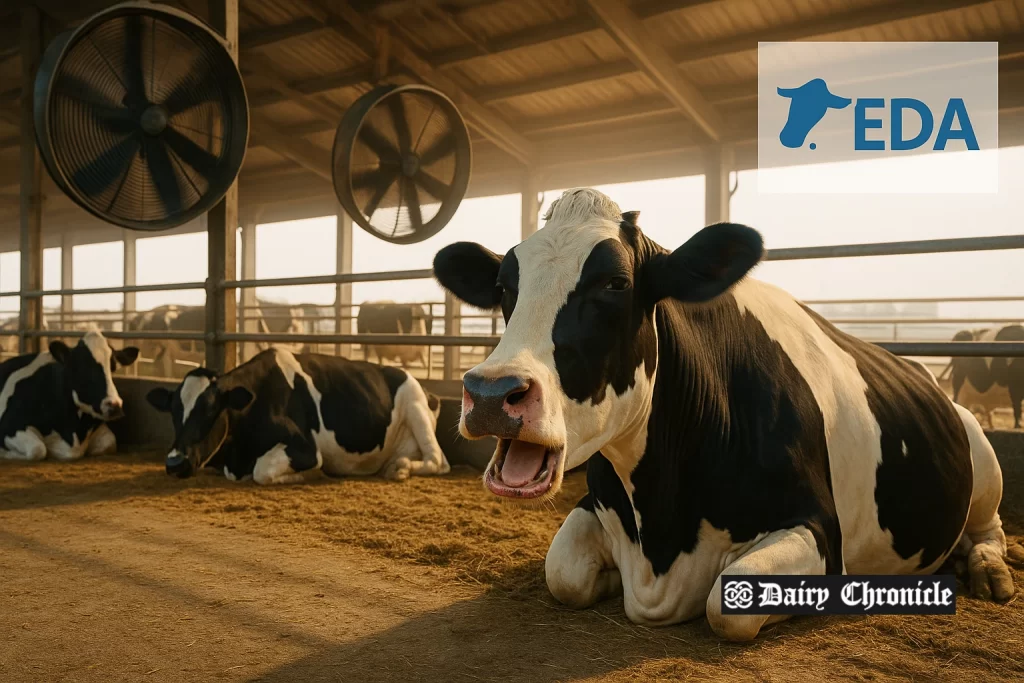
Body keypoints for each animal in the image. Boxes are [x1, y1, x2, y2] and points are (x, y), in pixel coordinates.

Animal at [0, 328, 139, 461]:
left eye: (113, 368)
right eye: (82, 367)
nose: (114, 405)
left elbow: (109, 443)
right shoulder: (9, 426)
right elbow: (38, 450)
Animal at [145, 347, 449, 484]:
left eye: (210, 409)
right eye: (173, 411)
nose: (174, 463)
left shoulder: (306, 449)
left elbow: (262, 472)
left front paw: (307, 476)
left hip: (415, 406)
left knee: (438, 461)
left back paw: (401, 469)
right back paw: (395, 465)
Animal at [432, 187, 1014, 641]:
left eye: (615, 283)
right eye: (505, 288)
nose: (491, 392)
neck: (663, 536)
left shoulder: (819, 531)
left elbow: (724, 607)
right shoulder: (595, 504)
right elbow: (564, 574)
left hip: (984, 463)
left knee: (990, 528)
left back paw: (989, 571)